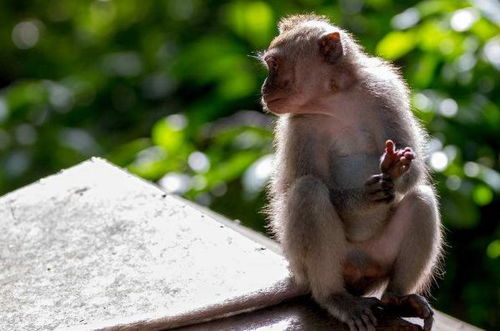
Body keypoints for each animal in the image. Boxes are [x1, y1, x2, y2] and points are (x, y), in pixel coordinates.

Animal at [260, 14, 444, 330]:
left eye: (274, 66)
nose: (264, 89)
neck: (335, 100)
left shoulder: (386, 91)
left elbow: (415, 171)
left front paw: (394, 169)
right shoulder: (298, 125)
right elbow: (292, 186)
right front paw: (363, 199)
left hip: (379, 257)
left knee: (421, 199)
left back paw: (397, 298)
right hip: (315, 266)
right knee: (308, 192)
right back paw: (335, 298)